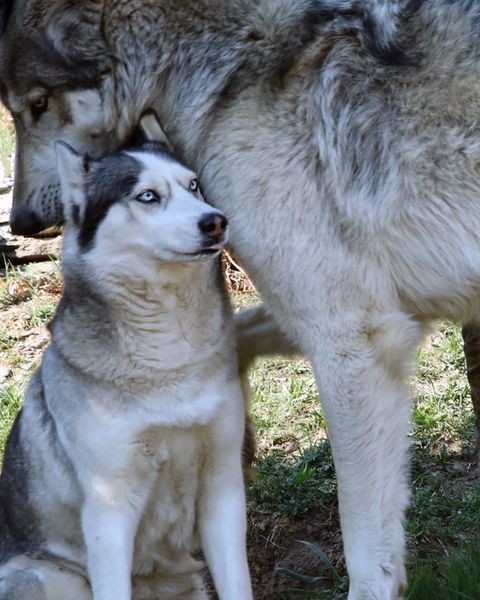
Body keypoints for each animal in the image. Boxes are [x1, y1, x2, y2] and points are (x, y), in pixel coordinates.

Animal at [0, 113, 253, 600]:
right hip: (44, 576)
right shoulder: (110, 508)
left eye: (194, 186)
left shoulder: (223, 486)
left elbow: (237, 583)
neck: (169, 359)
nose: (215, 222)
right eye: (148, 196)